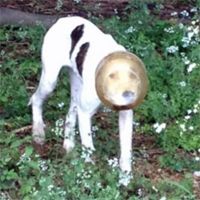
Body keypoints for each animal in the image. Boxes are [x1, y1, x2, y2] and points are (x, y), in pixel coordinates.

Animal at [29, 16, 148, 186]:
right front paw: (89, 176)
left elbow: (126, 151)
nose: (128, 96)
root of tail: (63, 19)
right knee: (35, 99)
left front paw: (125, 179)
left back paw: (69, 146)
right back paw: (38, 132)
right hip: (49, 81)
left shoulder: (126, 116)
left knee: (69, 115)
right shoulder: (85, 113)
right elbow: (88, 147)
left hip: (76, 89)